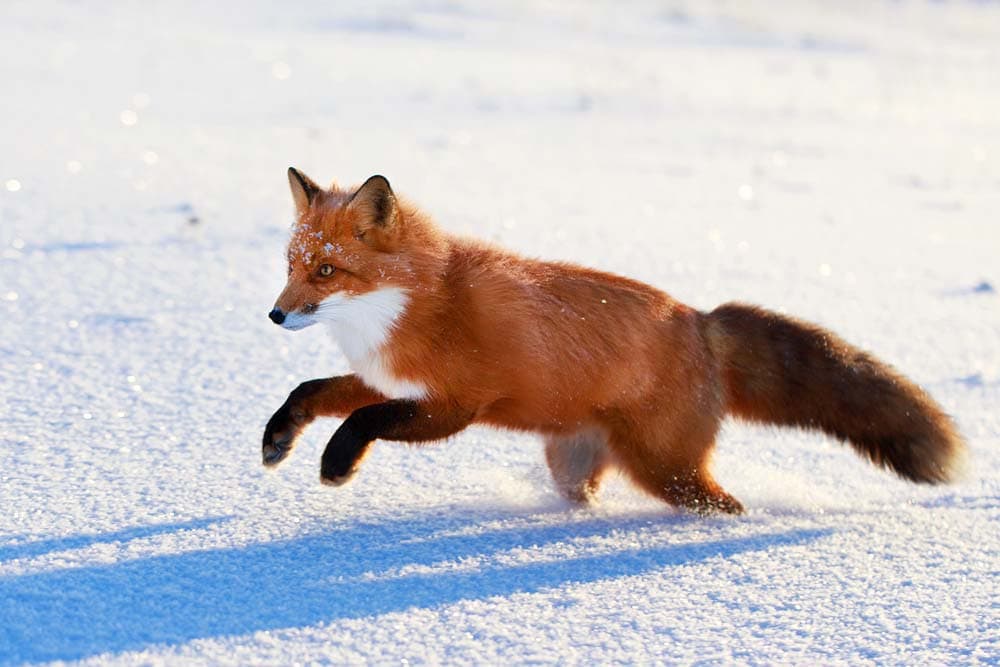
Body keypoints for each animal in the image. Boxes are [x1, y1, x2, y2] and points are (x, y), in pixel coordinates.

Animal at [262, 170, 964, 516]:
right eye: (291, 265)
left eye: (326, 271)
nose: (275, 315)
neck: (419, 305)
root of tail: (699, 321)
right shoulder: (386, 379)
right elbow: (313, 391)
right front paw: (278, 438)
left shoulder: (454, 405)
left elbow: (362, 420)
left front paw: (336, 464)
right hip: (575, 463)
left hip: (666, 470)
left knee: (722, 504)